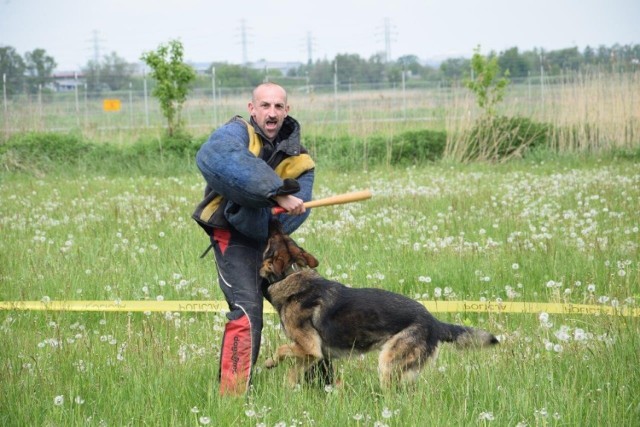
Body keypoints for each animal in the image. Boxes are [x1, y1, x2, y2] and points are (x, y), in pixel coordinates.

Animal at [258, 222, 498, 390]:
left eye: (272, 239)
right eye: (282, 236)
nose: (274, 220)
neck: (292, 273)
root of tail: (435, 322)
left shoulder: (309, 347)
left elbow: (282, 349)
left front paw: (270, 362)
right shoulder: (312, 355)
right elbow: (294, 370)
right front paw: (288, 386)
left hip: (388, 363)